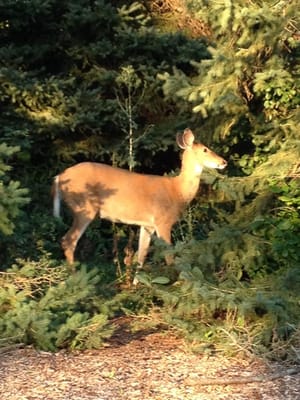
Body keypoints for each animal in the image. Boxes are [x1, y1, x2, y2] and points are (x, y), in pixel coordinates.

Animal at [51, 130, 226, 280]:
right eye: (205, 149)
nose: (224, 162)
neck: (177, 191)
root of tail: (59, 177)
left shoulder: (147, 225)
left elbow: (142, 255)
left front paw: (137, 283)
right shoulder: (163, 221)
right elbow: (169, 254)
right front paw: (176, 281)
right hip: (84, 208)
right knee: (68, 240)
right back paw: (76, 278)